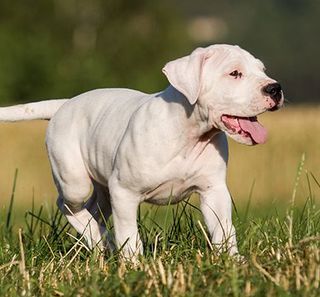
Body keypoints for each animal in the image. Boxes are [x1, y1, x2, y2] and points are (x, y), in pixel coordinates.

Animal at [0, 43, 282, 256]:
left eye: (263, 70)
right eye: (234, 73)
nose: (275, 88)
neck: (189, 133)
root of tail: (65, 104)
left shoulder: (213, 191)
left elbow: (224, 230)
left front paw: (233, 262)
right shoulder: (124, 192)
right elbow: (129, 235)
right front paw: (133, 266)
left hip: (103, 188)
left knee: (94, 211)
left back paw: (99, 241)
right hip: (74, 180)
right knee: (67, 205)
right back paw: (104, 241)